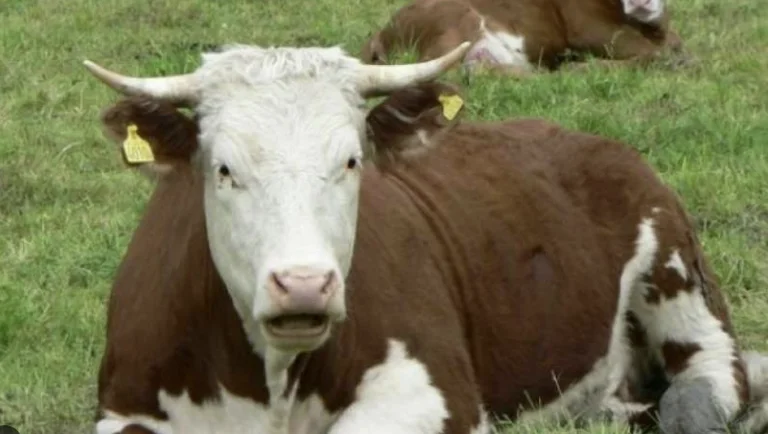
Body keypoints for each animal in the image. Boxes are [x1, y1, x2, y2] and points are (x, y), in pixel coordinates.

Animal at [81, 41, 767, 434]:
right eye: (224, 168)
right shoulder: (126, 405)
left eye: (352, 160)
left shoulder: (439, 391)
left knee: (709, 383)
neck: (271, 380)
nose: (303, 285)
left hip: (679, 276)